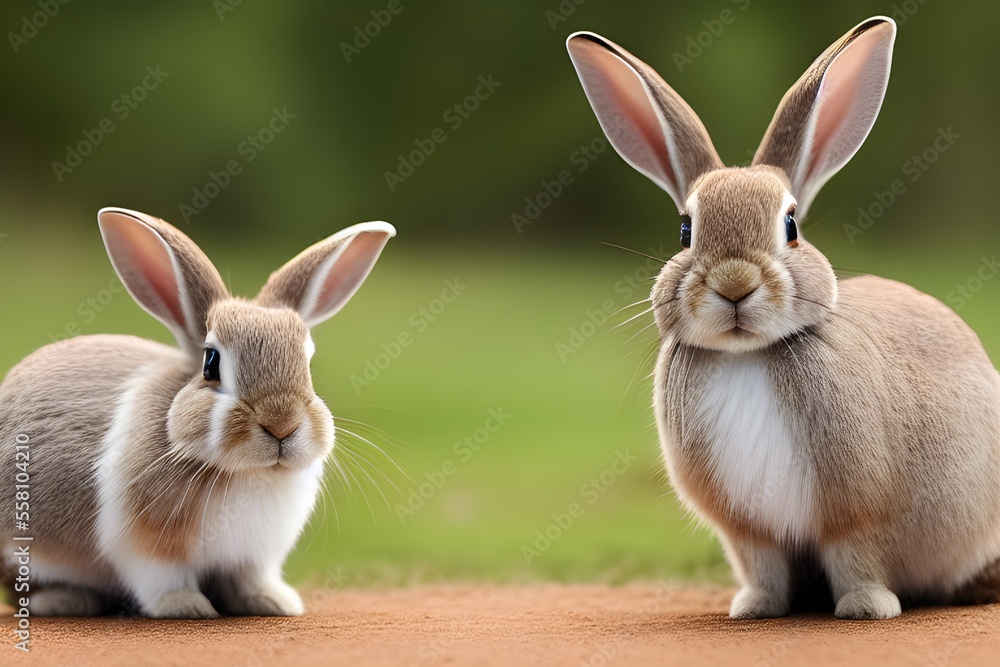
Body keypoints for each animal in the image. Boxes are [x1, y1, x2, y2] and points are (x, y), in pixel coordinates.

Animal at [0, 207, 394, 618]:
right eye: (211, 363)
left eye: (308, 364)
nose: (281, 425)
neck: (245, 473)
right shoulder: (148, 550)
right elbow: (163, 581)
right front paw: (187, 607)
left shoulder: (253, 559)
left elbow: (250, 580)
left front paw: (275, 602)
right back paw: (65, 600)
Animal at [568, 16, 1000, 619]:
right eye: (685, 231)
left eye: (791, 225)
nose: (734, 284)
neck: (746, 356)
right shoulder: (748, 531)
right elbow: (762, 566)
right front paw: (754, 608)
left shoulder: (855, 518)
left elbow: (856, 559)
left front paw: (866, 609)